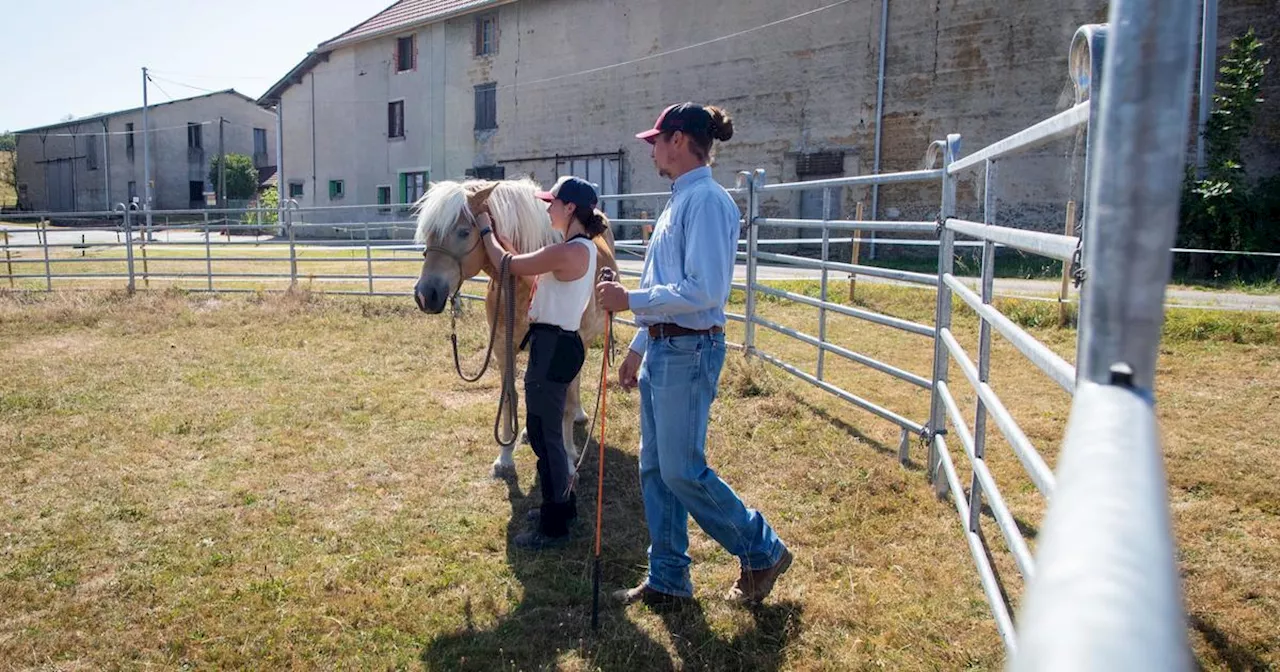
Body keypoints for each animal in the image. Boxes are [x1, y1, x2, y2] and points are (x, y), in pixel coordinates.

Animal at [414, 177, 619, 478]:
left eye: (464, 232)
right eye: (428, 233)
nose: (425, 295)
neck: (518, 283)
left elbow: (564, 407)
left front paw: (569, 460)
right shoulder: (503, 347)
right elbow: (510, 398)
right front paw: (505, 458)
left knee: (574, 386)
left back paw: (578, 420)